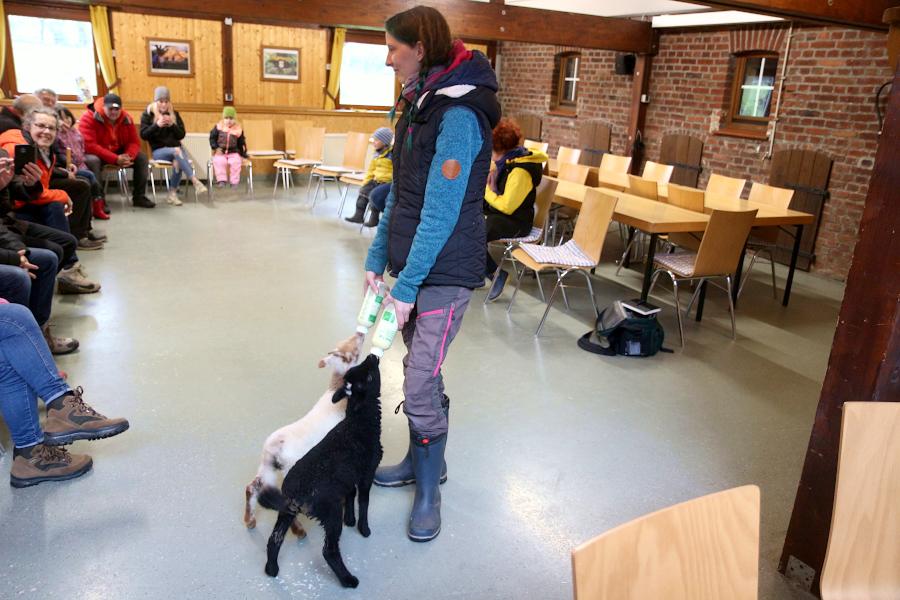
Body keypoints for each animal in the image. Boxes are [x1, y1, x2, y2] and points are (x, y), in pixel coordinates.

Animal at [260, 354, 386, 588]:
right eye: (370, 376)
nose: (373, 356)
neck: (358, 422)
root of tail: (295, 495)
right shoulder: (367, 471)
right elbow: (364, 500)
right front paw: (364, 529)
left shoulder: (348, 477)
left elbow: (351, 495)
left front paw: (350, 520)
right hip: (330, 512)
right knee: (329, 550)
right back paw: (348, 580)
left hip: (286, 511)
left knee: (274, 539)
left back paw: (272, 570)